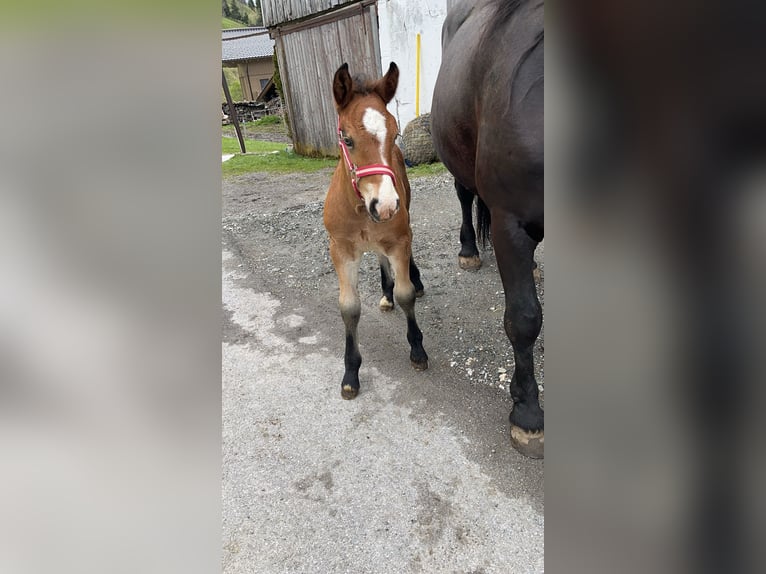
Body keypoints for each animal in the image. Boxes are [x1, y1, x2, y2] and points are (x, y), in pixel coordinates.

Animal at [326, 59, 432, 400]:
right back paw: (385, 292)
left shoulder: (399, 238)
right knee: (380, 256)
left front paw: (417, 350)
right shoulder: (341, 249)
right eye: (346, 139)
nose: (384, 205)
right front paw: (350, 374)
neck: (361, 209)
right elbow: (349, 307)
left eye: (396, 133)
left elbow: (406, 294)